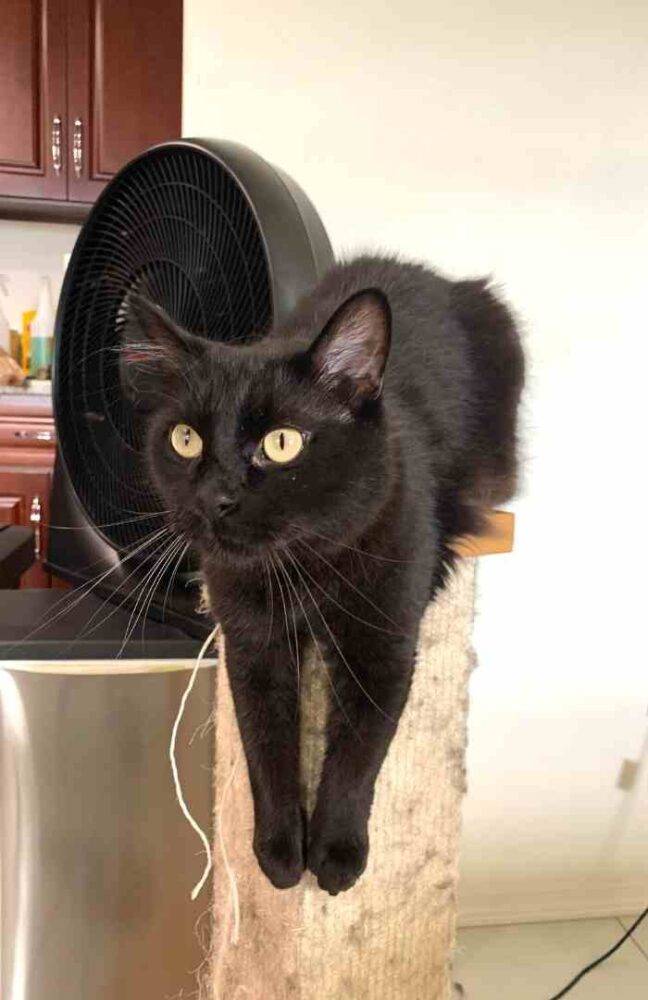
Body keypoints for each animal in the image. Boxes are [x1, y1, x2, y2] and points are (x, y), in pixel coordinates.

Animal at [122, 254, 524, 895]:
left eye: (282, 443)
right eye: (185, 439)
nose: (215, 499)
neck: (302, 565)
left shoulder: (381, 644)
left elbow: (358, 756)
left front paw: (335, 855)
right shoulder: (251, 645)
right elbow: (264, 745)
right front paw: (279, 854)